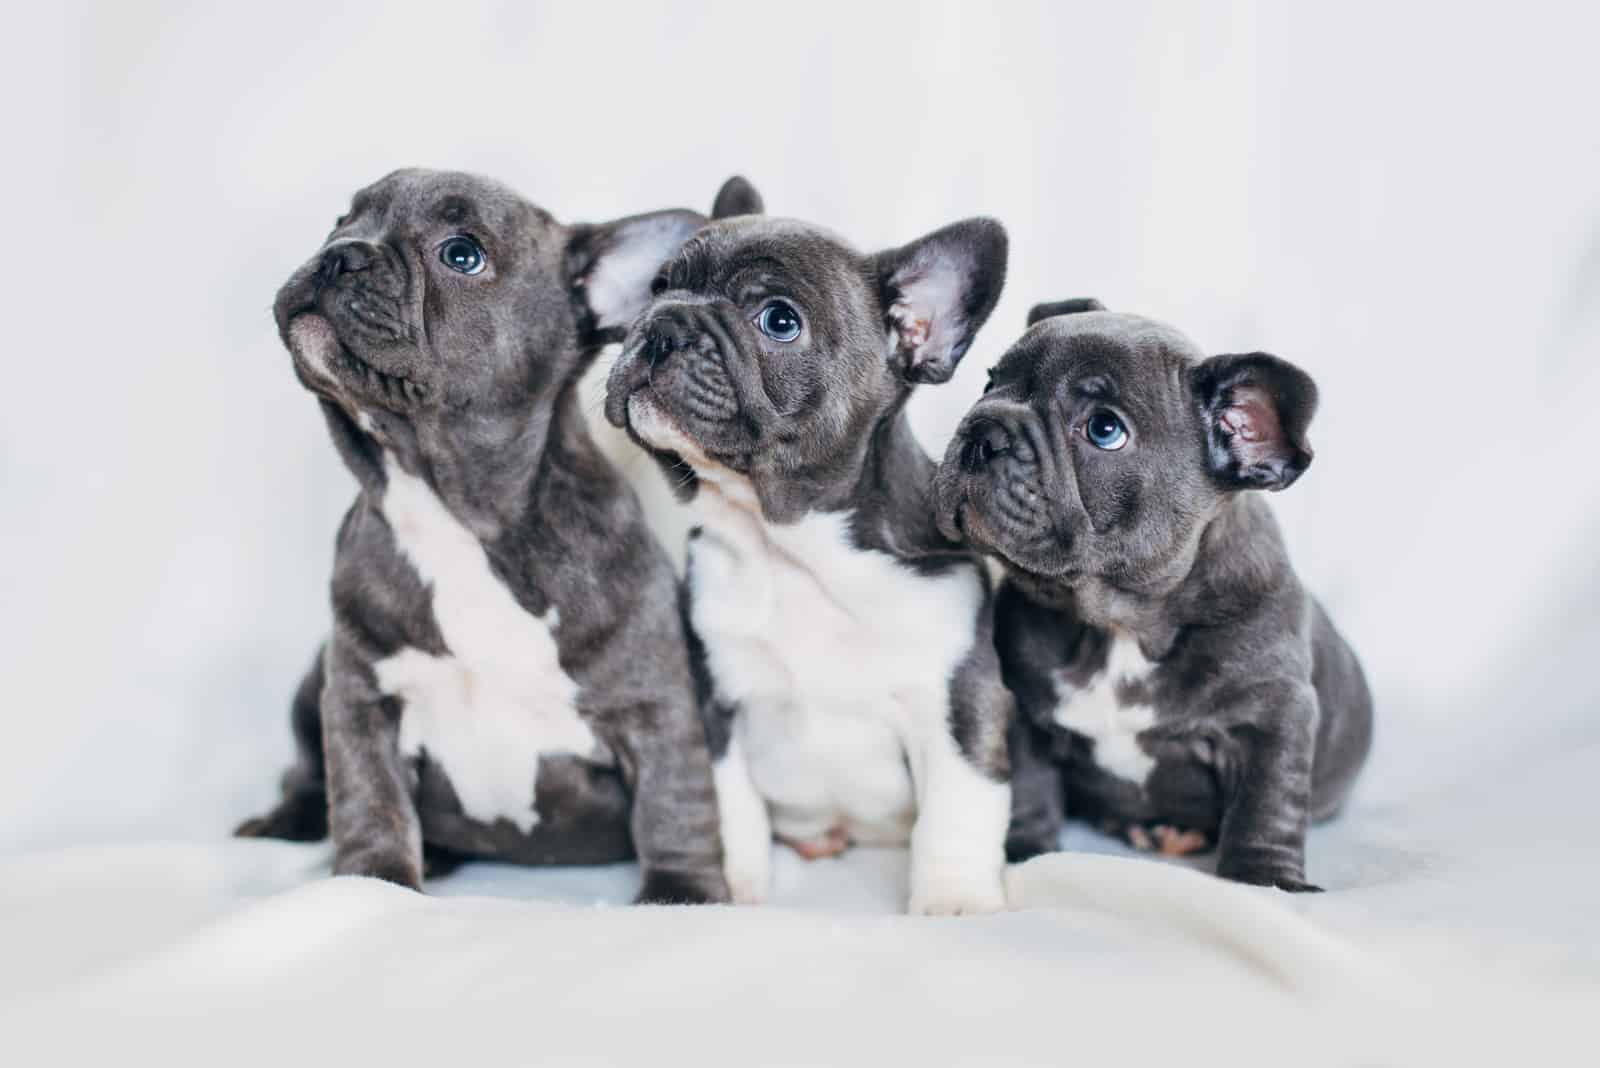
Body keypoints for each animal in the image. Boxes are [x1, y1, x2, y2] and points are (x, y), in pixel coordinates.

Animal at [233, 171, 758, 908]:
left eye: (462, 254)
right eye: (342, 219)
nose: (341, 254)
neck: (456, 516)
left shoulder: (653, 708)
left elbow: (674, 805)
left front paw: (681, 894)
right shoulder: (361, 702)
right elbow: (370, 799)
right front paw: (372, 884)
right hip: (316, 679)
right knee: (307, 773)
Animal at [601, 204, 1011, 914]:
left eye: (779, 320)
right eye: (658, 288)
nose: (664, 325)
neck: (790, 548)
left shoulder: (961, 702)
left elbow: (957, 807)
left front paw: (955, 898)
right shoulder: (716, 700)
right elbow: (730, 805)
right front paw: (735, 885)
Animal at [934, 300, 1376, 895]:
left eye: (1104, 429)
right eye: (989, 382)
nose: (984, 430)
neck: (1121, 624)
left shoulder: (1271, 720)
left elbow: (1266, 805)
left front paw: (1263, 880)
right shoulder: (1026, 712)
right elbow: (1030, 785)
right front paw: (1027, 850)